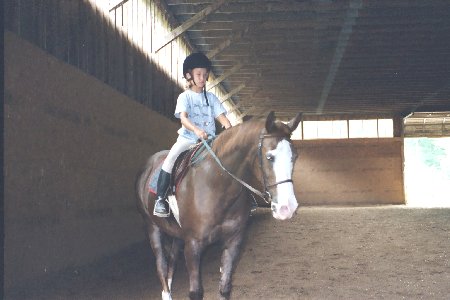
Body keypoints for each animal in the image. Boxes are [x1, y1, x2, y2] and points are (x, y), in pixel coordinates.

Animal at [135, 112, 300, 300]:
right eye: (269, 157)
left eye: (294, 157)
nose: (287, 208)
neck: (215, 184)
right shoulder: (193, 245)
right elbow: (195, 292)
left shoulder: (233, 241)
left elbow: (225, 287)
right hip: (152, 227)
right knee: (161, 265)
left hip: (176, 234)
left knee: (172, 261)